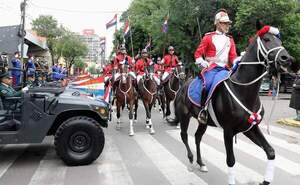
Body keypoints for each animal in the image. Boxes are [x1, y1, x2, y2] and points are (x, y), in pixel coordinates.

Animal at [172, 26, 292, 185]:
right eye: (266, 39)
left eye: (280, 41)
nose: (286, 59)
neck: (242, 89)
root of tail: (182, 86)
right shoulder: (228, 131)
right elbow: (231, 161)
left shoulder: (250, 127)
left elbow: (270, 151)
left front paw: (265, 181)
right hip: (184, 117)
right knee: (184, 136)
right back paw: (191, 160)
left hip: (203, 122)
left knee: (197, 137)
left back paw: (201, 163)